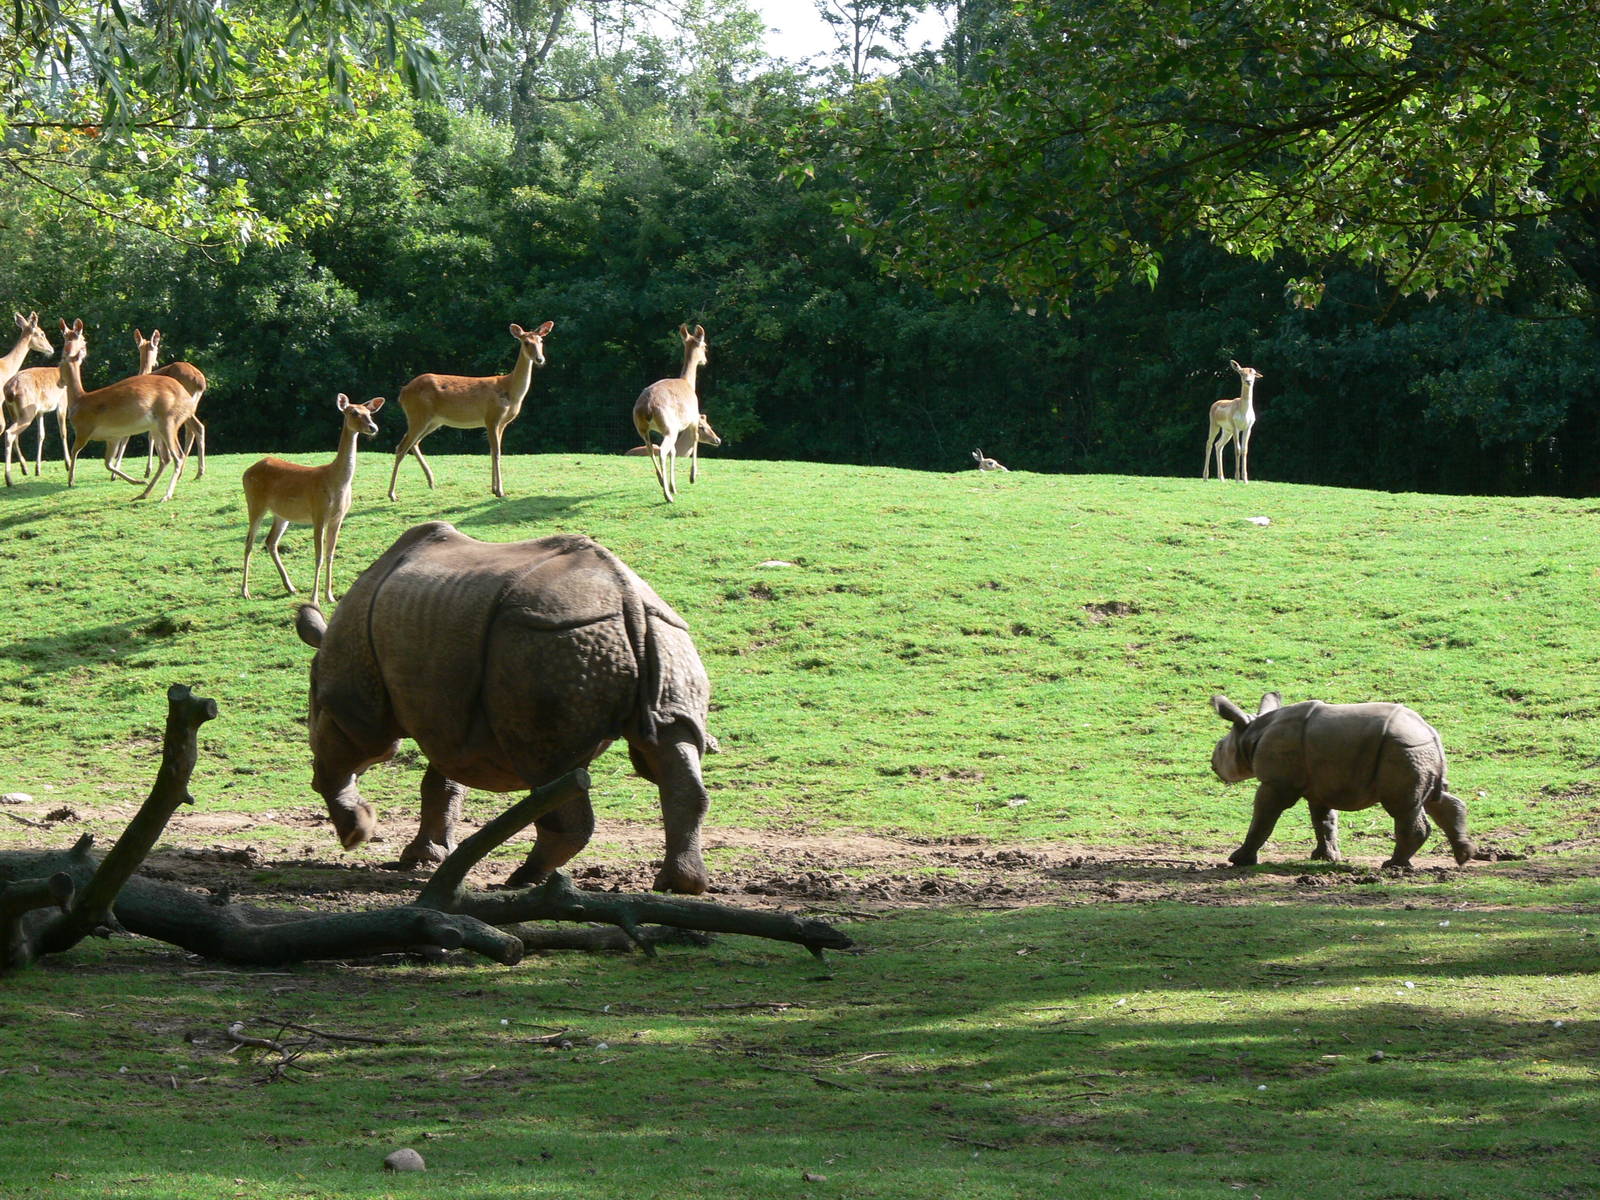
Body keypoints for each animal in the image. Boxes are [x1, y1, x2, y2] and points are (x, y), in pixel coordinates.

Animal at [293, 521, 713, 893]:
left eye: (311, 704)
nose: (355, 833)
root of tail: (628, 600)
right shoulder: (452, 718)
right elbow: (443, 782)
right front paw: (422, 857)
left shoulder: (351, 701)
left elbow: (349, 755)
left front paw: (355, 833)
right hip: (667, 637)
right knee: (669, 745)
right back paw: (679, 885)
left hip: (546, 641)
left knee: (550, 768)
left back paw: (523, 878)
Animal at [1209, 692, 1473, 869]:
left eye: (1220, 748)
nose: (1212, 762)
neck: (1251, 733)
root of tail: (1430, 733)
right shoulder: (1319, 785)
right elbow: (1324, 820)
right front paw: (1325, 858)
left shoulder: (1277, 784)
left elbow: (1263, 817)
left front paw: (1239, 860)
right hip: (1419, 752)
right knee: (1434, 799)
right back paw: (1464, 856)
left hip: (1403, 749)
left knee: (1403, 807)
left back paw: (1392, 866)